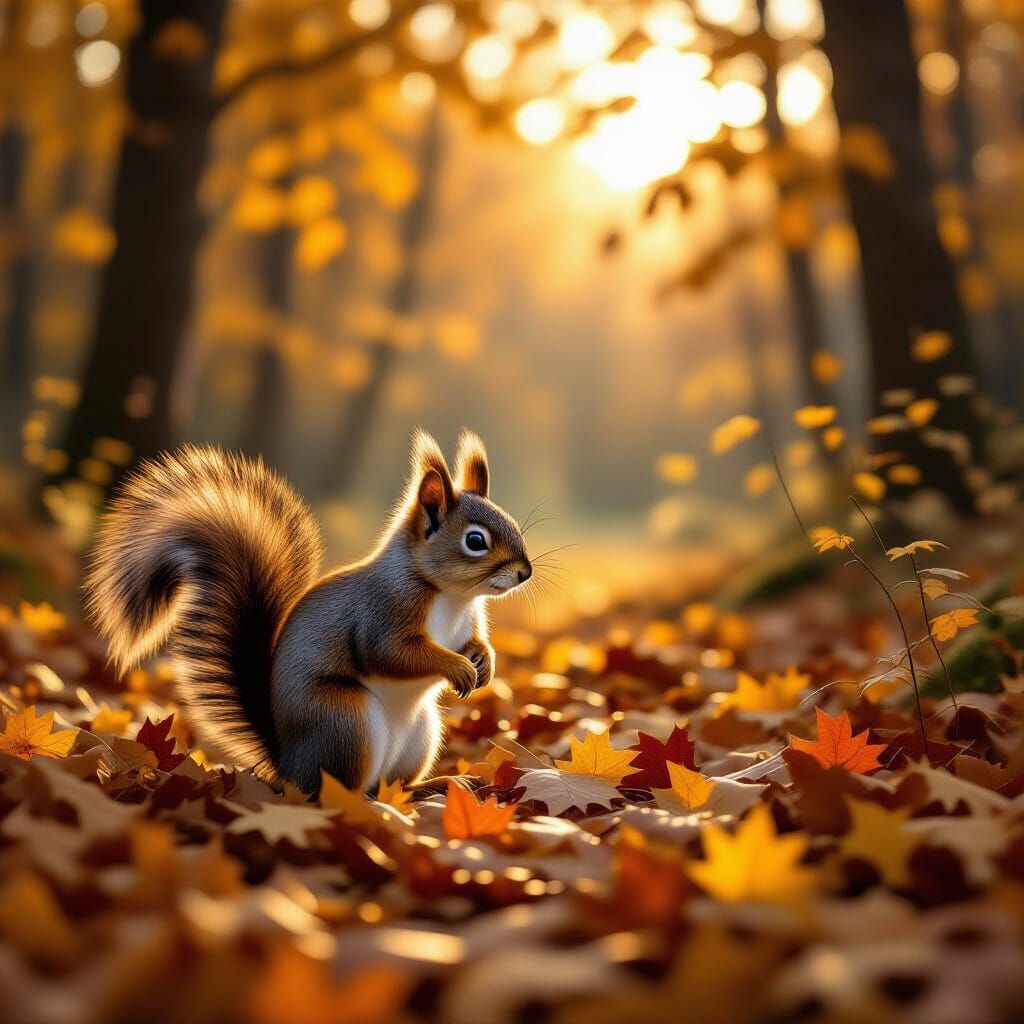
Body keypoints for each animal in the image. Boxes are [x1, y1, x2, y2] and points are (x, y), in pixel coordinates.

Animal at [84, 429, 532, 795]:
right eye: (475, 540)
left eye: (513, 523)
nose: (525, 572)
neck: (453, 596)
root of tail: (288, 766)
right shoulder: (384, 610)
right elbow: (390, 652)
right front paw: (458, 667)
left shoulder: (468, 621)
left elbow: (473, 642)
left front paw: (484, 662)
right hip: (344, 722)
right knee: (338, 792)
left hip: (421, 736)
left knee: (392, 786)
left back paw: (435, 785)